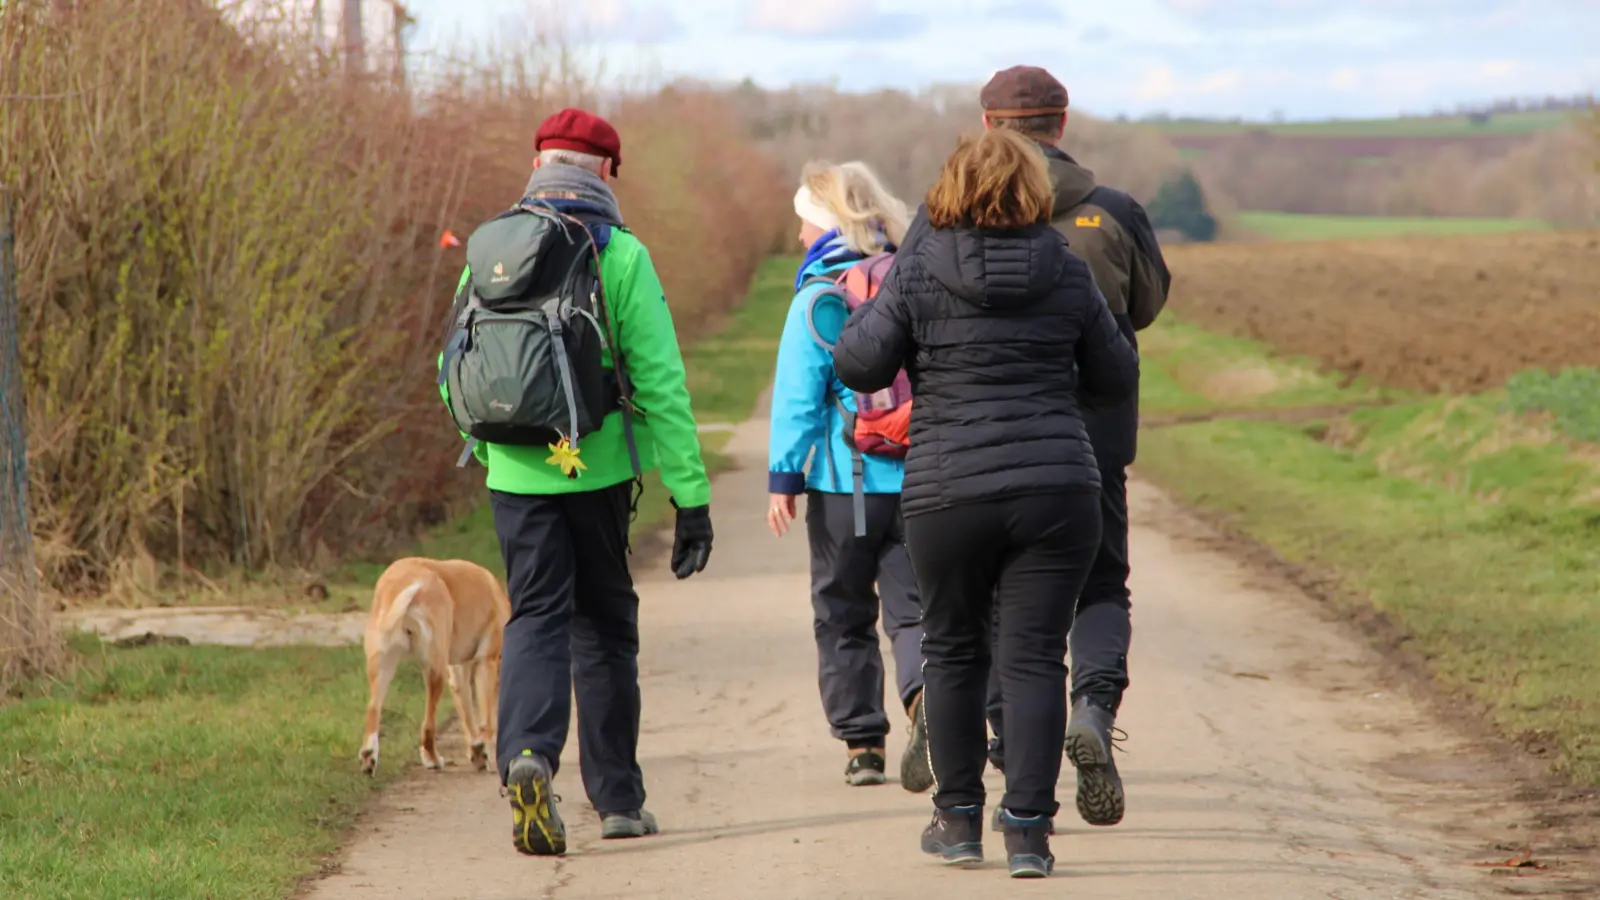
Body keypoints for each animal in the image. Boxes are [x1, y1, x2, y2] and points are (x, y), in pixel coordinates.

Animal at [360, 554, 508, 771]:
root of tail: (401, 583)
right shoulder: (486, 663)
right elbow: (487, 721)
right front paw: (488, 755)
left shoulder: (458, 673)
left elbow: (468, 715)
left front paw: (477, 752)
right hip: (435, 671)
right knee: (428, 726)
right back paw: (434, 760)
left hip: (382, 668)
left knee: (372, 710)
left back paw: (369, 756)